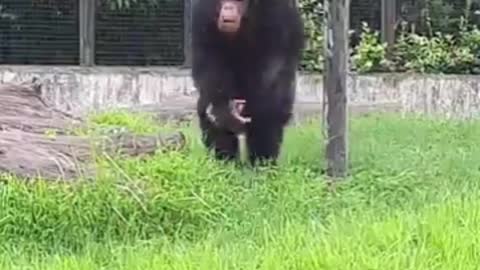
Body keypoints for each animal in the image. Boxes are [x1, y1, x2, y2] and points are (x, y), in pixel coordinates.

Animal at [190, 0, 304, 165]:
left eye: (239, 1)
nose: (228, 7)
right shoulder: (201, 13)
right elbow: (208, 58)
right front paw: (222, 110)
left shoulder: (276, 10)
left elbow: (275, 57)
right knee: (206, 104)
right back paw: (227, 162)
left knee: (272, 113)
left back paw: (262, 163)